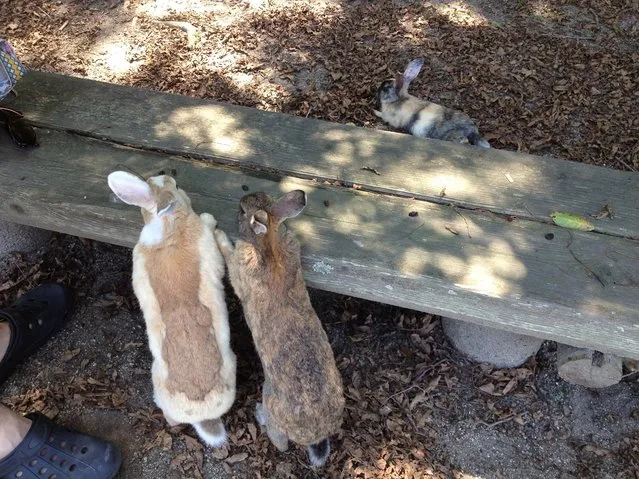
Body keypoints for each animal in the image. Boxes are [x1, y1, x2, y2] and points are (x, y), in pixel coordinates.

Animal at [215, 189, 344, 466]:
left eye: (243, 211)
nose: (240, 202)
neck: (270, 243)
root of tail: (314, 433)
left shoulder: (239, 270)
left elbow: (228, 254)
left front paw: (218, 233)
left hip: (270, 399)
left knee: (279, 441)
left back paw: (259, 414)